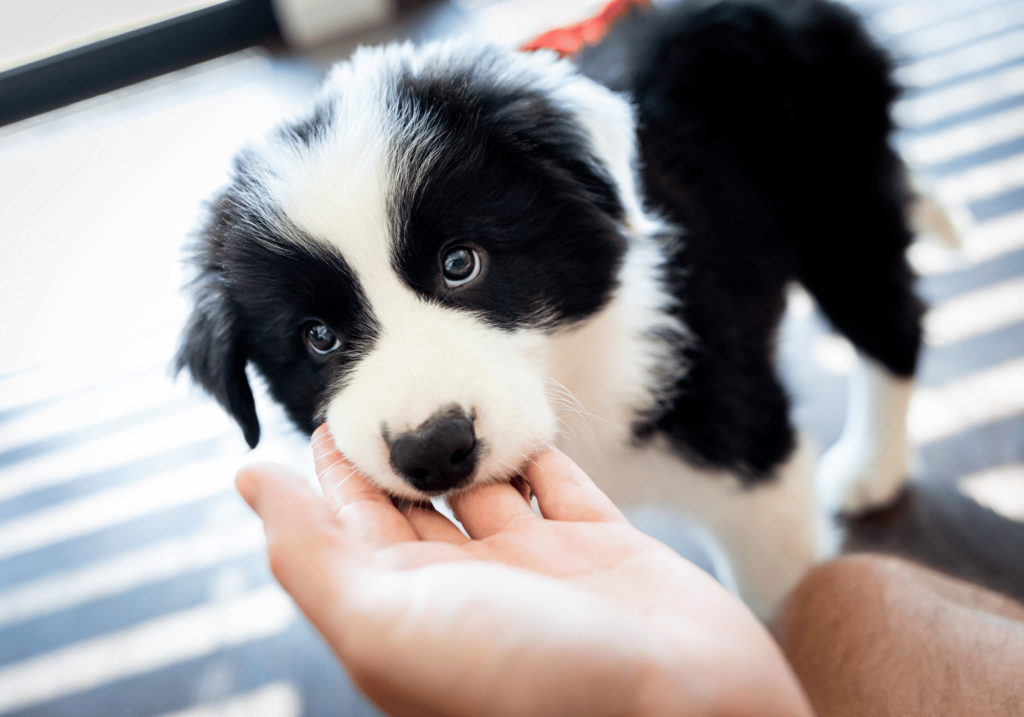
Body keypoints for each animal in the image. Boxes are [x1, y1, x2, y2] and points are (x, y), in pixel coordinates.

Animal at [178, 0, 929, 614]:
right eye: (318, 338)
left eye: (460, 263)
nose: (435, 450)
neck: (574, 378)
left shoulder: (743, 441)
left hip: (837, 198)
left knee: (891, 320)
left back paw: (871, 468)